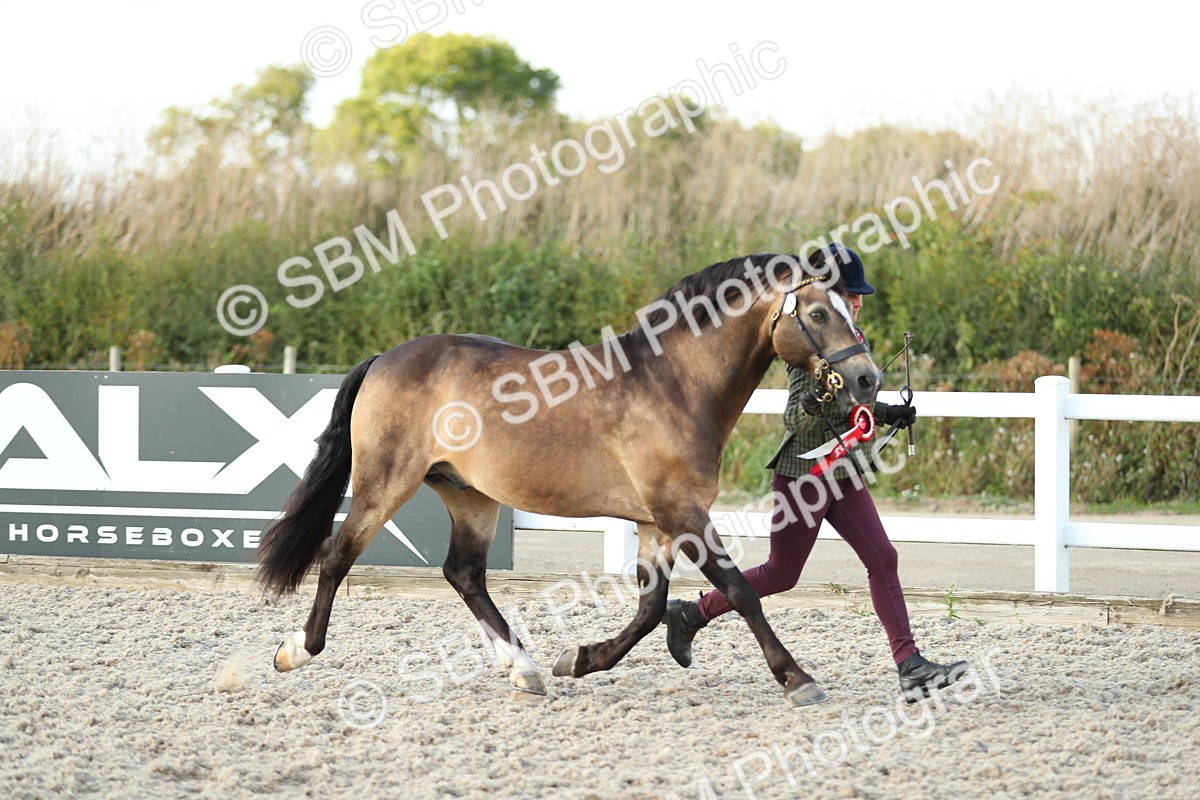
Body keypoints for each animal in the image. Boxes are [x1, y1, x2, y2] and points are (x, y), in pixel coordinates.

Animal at [257, 252, 881, 706]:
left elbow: (650, 611)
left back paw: (525, 670)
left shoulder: (656, 524)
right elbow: (741, 591)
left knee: (464, 574)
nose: (867, 379)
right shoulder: (682, 513)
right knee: (337, 555)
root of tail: (385, 358)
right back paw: (294, 652)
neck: (674, 386)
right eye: (818, 314)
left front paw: (579, 660)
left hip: (470, 496)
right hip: (385, 483)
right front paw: (797, 679)